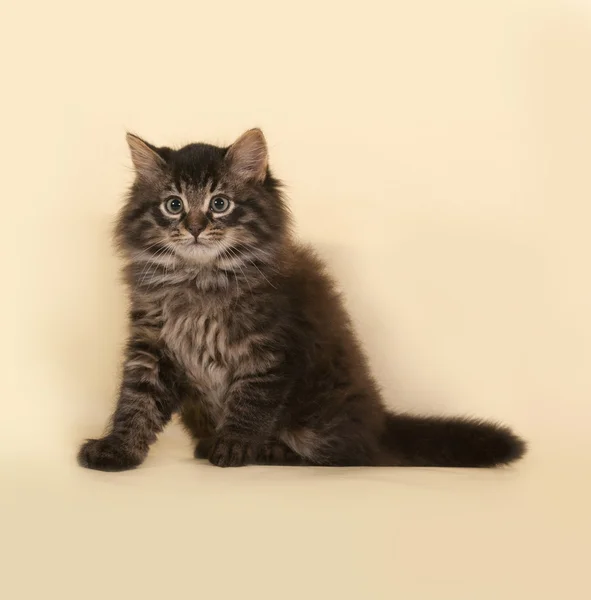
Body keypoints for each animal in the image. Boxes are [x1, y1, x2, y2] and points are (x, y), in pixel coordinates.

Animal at [77, 129, 528, 472]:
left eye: (219, 203)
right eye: (174, 205)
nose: (194, 227)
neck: (200, 280)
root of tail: (379, 423)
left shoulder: (269, 352)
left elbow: (251, 404)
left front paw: (235, 445)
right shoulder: (152, 347)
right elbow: (136, 403)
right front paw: (117, 448)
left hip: (324, 414)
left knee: (342, 454)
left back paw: (270, 450)